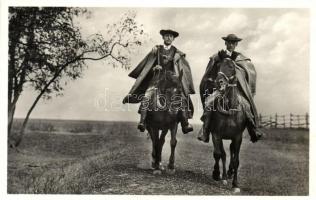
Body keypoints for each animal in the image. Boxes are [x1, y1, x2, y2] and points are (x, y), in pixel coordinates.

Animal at [202, 57, 254, 192]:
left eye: (231, 67)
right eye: (218, 66)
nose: (218, 82)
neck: (229, 108)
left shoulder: (237, 137)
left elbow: (236, 160)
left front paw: (235, 184)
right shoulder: (216, 134)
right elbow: (218, 154)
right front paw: (217, 174)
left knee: (231, 151)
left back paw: (230, 173)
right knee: (224, 154)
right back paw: (224, 175)